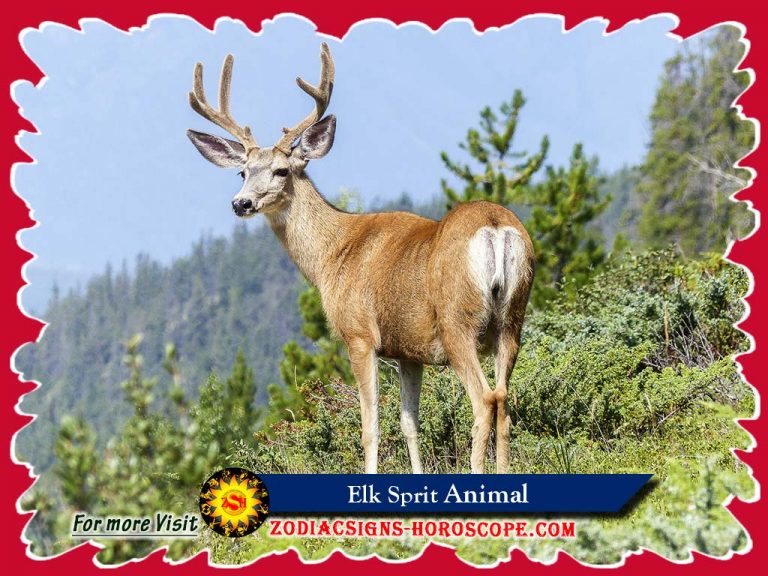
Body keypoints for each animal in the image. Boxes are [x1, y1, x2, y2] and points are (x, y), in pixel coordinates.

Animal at [186, 43, 535, 474]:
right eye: (242, 172)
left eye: (282, 170)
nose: (241, 203)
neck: (332, 256)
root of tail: (495, 228)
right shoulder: (408, 350)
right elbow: (409, 424)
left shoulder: (359, 334)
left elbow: (371, 428)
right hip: (513, 317)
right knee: (503, 398)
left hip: (459, 321)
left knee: (485, 400)